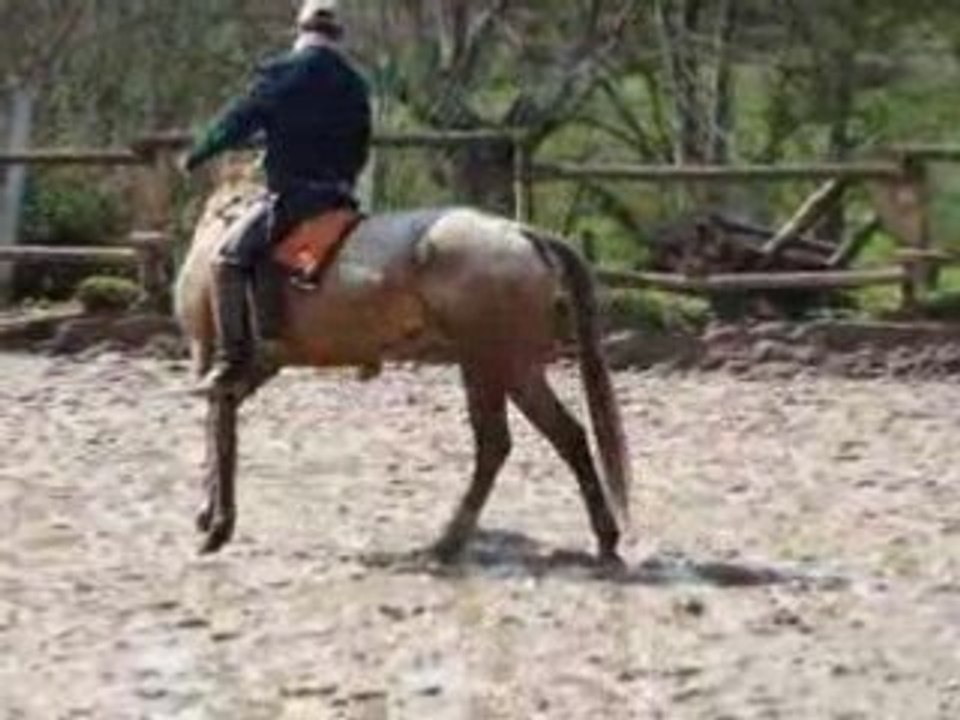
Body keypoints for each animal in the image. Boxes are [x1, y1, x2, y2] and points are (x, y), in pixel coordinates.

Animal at [175, 179, 633, 565]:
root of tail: (523, 233)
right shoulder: (256, 366)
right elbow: (221, 426)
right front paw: (211, 516)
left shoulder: (212, 357)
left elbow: (218, 429)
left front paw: (216, 525)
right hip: (498, 368)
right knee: (553, 439)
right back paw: (600, 539)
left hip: (499, 365)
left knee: (510, 444)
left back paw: (447, 543)